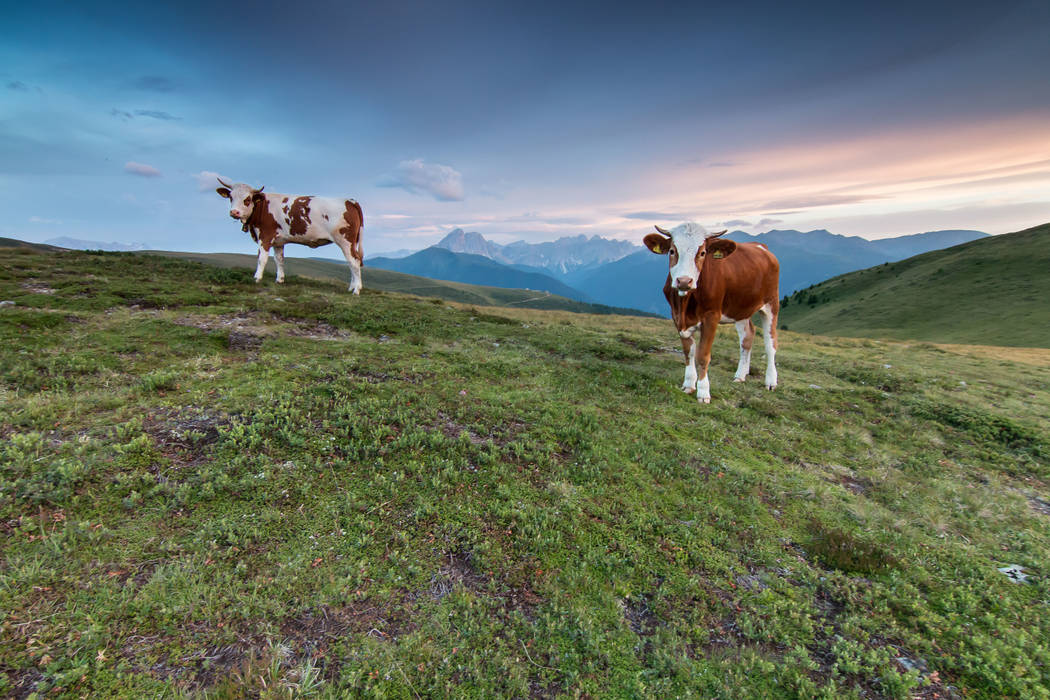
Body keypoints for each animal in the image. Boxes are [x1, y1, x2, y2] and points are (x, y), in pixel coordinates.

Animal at [213, 178, 365, 295]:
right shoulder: (279, 241)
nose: (234, 212)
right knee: (352, 262)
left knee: (354, 262)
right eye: (231, 197)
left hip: (346, 240)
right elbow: (279, 259)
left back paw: (356, 290)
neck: (261, 207)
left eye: (247, 199)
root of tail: (350, 200)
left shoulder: (265, 236)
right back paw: (351, 287)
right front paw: (279, 280)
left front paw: (257, 278)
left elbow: (262, 258)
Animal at [638, 221, 781, 402]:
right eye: (672, 251)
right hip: (741, 308)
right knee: (747, 336)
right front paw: (688, 384)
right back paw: (740, 375)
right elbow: (689, 352)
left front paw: (703, 392)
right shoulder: (676, 316)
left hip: (771, 303)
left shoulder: (712, 316)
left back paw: (771, 381)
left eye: (703, 253)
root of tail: (761, 247)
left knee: (771, 343)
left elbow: (703, 355)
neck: (685, 305)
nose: (684, 281)